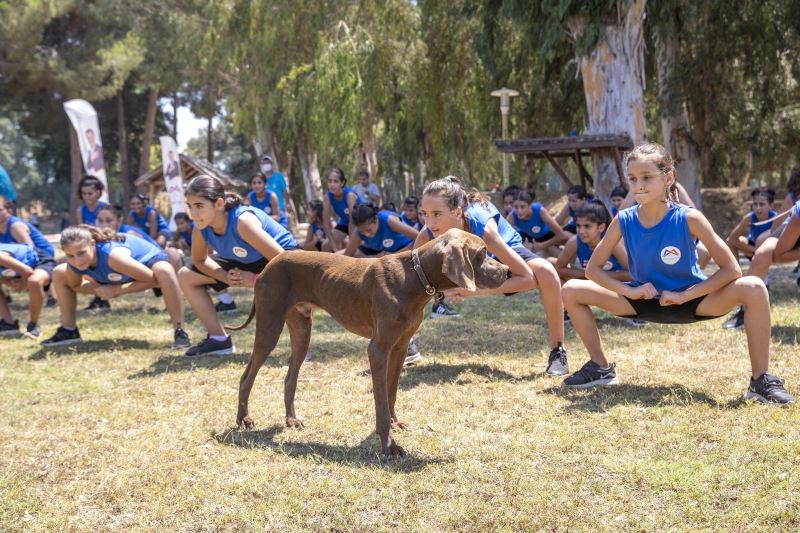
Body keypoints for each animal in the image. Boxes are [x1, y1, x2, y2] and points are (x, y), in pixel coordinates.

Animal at [228, 227, 510, 456]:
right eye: (482, 253)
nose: (507, 271)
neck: (414, 276)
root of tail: (269, 265)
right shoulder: (378, 349)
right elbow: (381, 401)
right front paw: (388, 445)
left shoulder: (399, 347)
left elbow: (391, 392)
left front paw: (395, 424)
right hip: (269, 328)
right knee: (246, 376)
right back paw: (244, 419)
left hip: (302, 331)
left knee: (290, 377)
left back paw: (291, 420)